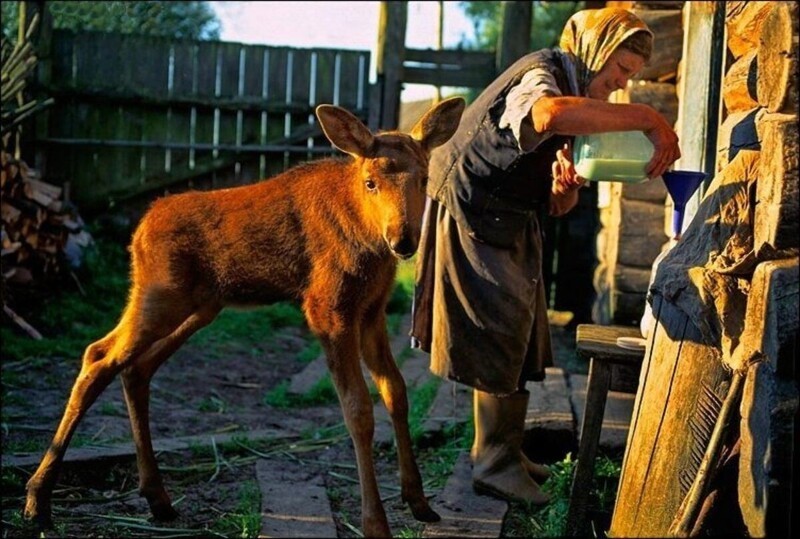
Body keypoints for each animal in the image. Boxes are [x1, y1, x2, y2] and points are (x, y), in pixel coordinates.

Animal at [25, 97, 466, 536]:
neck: (367, 242)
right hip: (158, 295)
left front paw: (418, 500)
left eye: (423, 179)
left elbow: (396, 392)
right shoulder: (326, 308)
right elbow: (358, 410)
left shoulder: (371, 311)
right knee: (98, 356)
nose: (403, 240)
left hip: (199, 306)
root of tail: (139, 230)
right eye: (371, 181)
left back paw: (157, 497)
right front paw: (374, 522)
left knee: (135, 368)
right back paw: (38, 498)